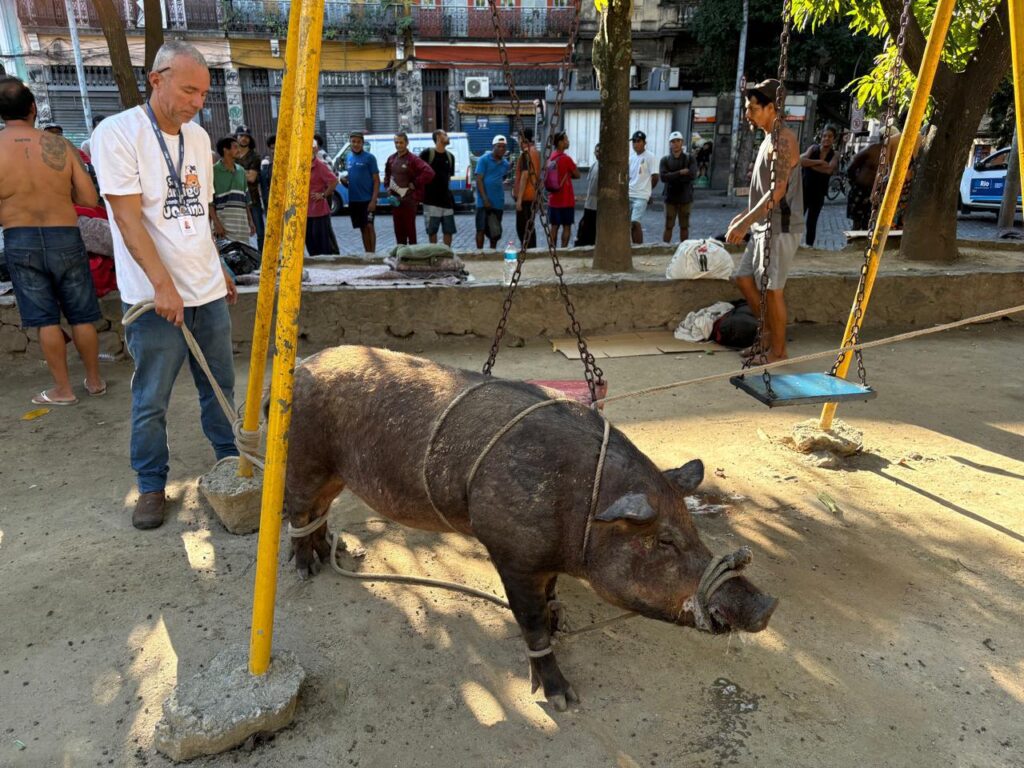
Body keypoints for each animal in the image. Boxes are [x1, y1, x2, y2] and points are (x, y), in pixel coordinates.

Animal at [283, 346, 778, 710]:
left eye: (691, 528)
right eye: (663, 540)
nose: (768, 604)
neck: (580, 508)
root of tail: (303, 365)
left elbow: (552, 596)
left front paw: (562, 621)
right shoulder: (512, 554)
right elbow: (532, 623)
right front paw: (564, 700)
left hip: (337, 473)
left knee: (321, 509)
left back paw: (336, 553)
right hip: (304, 457)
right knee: (297, 511)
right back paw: (305, 569)